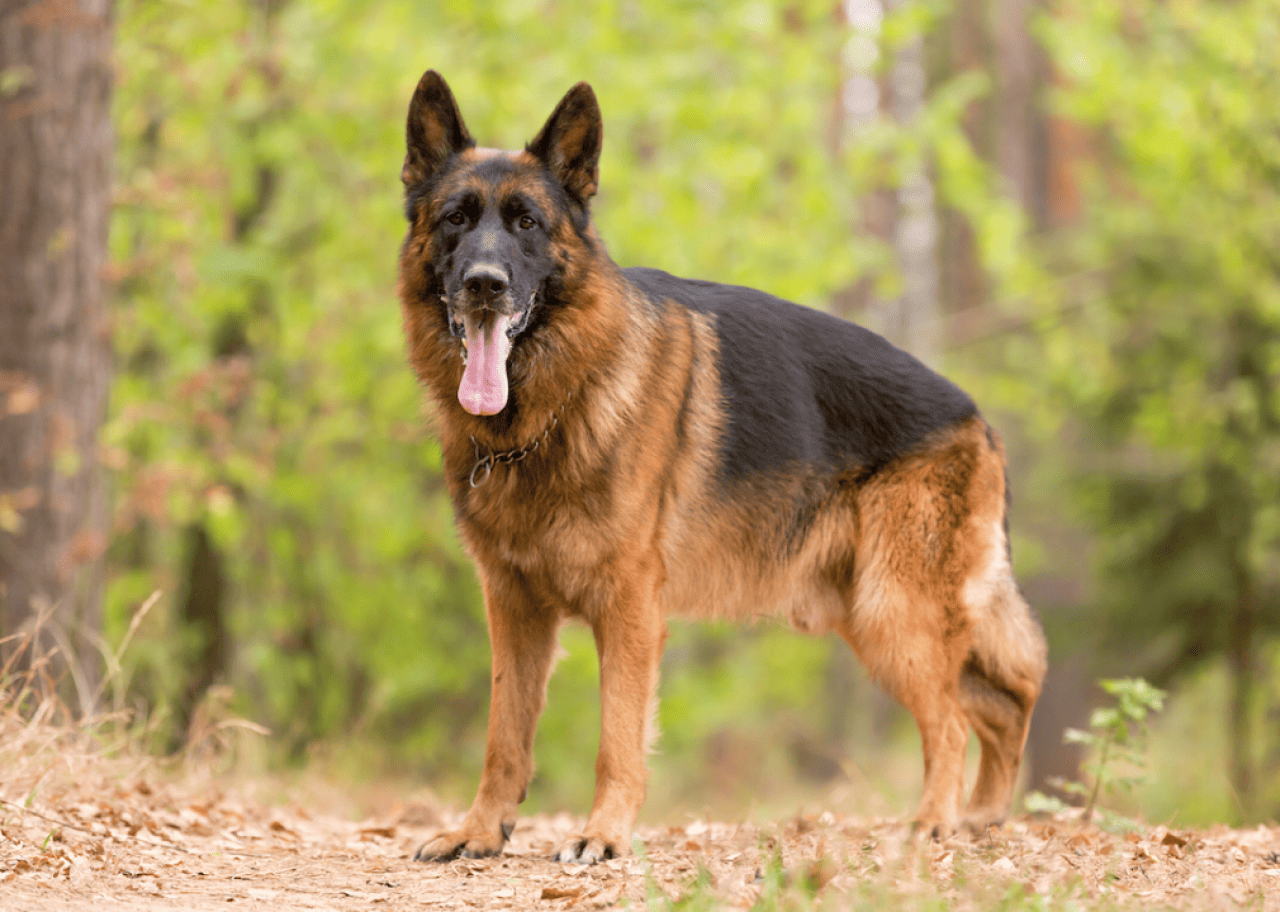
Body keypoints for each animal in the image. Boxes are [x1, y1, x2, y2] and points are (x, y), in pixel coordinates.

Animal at [398, 70, 1047, 864]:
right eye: (455, 219)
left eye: (526, 223)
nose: (485, 284)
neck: (553, 410)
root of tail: (976, 415)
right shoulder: (514, 608)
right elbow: (504, 737)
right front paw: (481, 831)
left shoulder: (629, 608)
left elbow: (618, 737)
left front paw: (603, 834)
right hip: (872, 618)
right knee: (1000, 701)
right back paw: (981, 816)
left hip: (894, 614)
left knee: (956, 718)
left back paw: (934, 822)